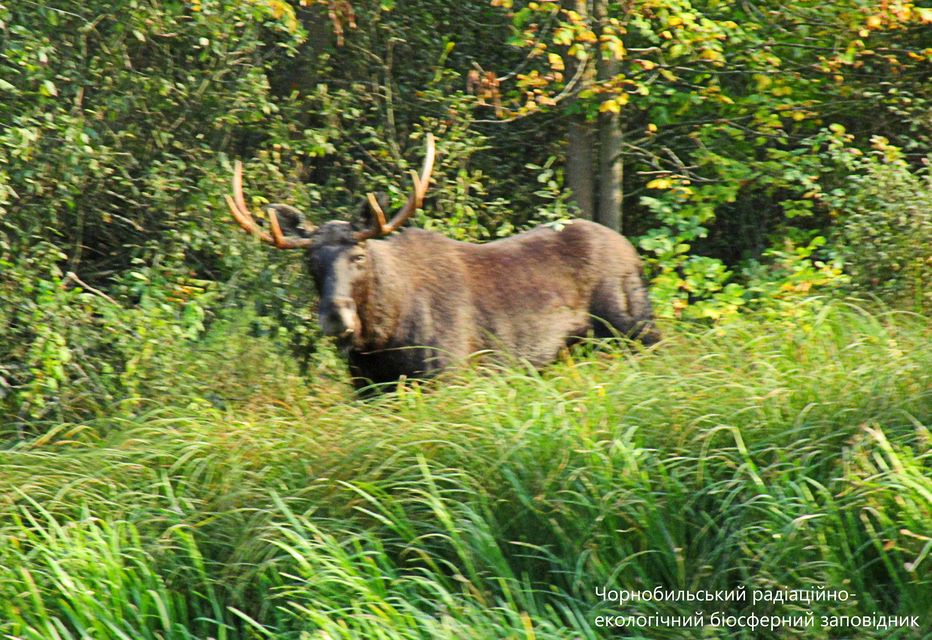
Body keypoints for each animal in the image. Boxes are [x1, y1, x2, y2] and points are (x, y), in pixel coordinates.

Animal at [227, 135, 660, 390]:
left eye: (359, 255)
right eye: (310, 261)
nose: (336, 317)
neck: (381, 340)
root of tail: (632, 250)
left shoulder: (450, 373)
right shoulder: (367, 389)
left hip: (636, 328)